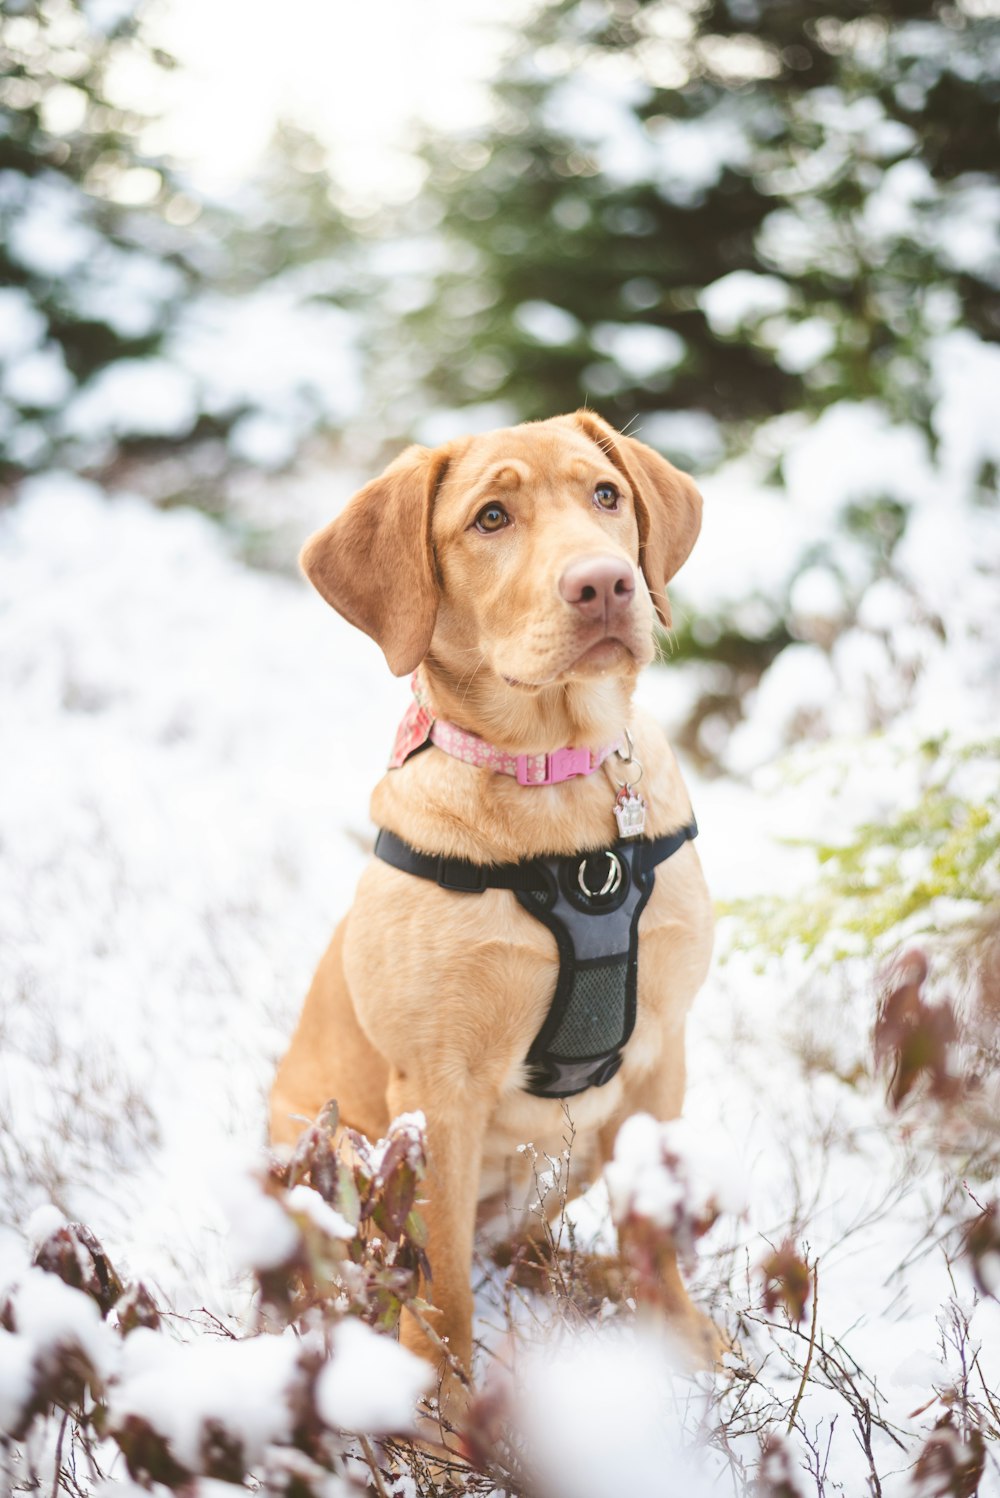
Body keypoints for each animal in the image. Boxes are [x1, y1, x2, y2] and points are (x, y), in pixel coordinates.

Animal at [269, 407, 715, 1390]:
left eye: (606, 495)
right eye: (491, 519)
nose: (604, 583)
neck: (557, 782)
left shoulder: (664, 1054)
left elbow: (657, 1223)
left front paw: (686, 1341)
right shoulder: (442, 1091)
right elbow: (442, 1301)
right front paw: (443, 1413)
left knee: (521, 1247)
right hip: (323, 1161)